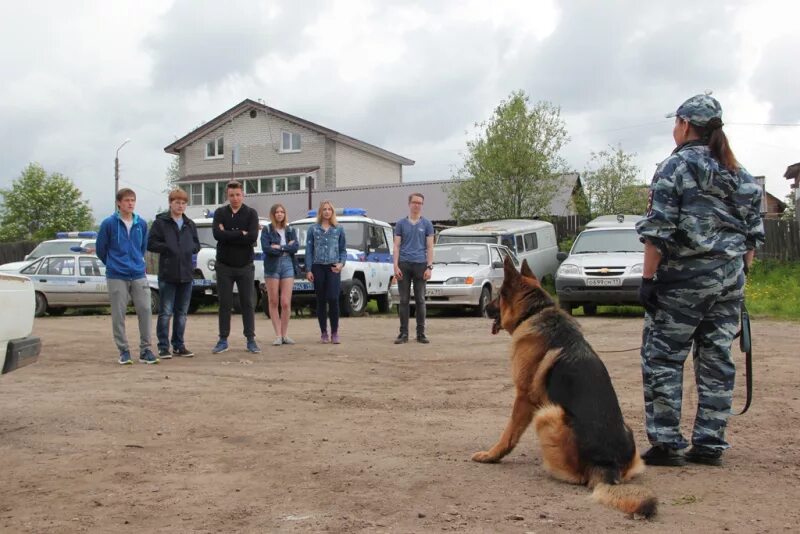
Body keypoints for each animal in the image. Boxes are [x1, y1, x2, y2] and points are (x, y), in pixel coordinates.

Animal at [472, 260, 652, 520]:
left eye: (498, 296)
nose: (484, 307)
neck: (535, 311)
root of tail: (607, 466)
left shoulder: (524, 398)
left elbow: (509, 433)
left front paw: (491, 455)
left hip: (548, 413)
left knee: (575, 477)